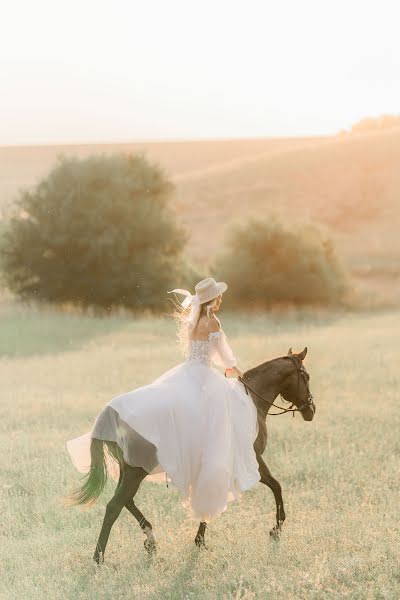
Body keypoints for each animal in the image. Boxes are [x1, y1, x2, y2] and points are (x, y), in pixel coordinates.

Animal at [65, 346, 316, 564]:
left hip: (129, 469)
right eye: (306, 376)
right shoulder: (253, 462)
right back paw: (99, 557)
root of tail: (111, 413)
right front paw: (276, 530)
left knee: (126, 501)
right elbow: (276, 486)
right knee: (114, 506)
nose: (311, 411)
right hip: (136, 470)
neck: (250, 403)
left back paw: (150, 541)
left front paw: (199, 540)